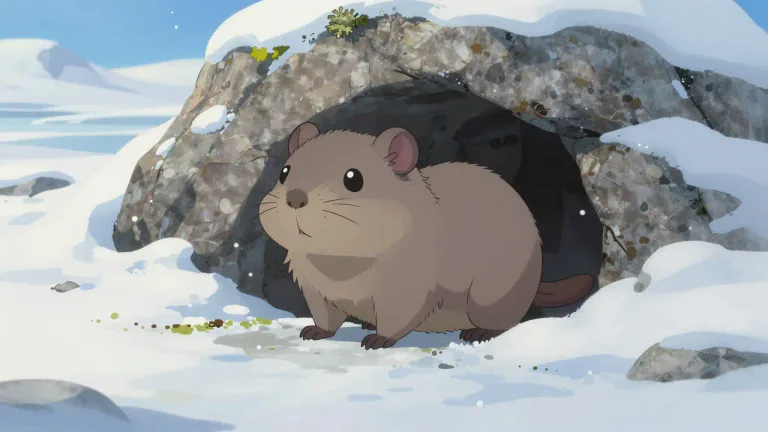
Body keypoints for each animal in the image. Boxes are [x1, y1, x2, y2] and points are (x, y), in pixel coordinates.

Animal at [259, 122, 543, 349]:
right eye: (284, 172)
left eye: (353, 178)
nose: (295, 198)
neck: (339, 261)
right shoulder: (315, 289)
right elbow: (325, 317)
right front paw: (312, 332)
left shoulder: (407, 288)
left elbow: (396, 317)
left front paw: (377, 340)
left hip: (491, 295)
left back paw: (478, 332)